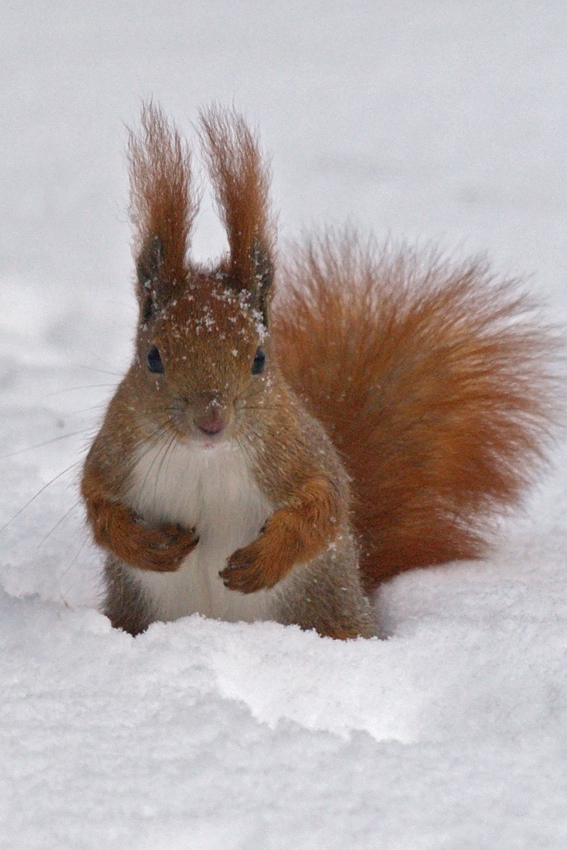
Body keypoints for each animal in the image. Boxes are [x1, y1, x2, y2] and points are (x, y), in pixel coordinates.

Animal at [80, 104, 560, 636]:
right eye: (153, 358)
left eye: (259, 358)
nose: (211, 419)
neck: (203, 457)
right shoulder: (116, 449)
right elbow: (97, 503)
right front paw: (152, 546)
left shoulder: (298, 452)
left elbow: (325, 507)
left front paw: (262, 562)